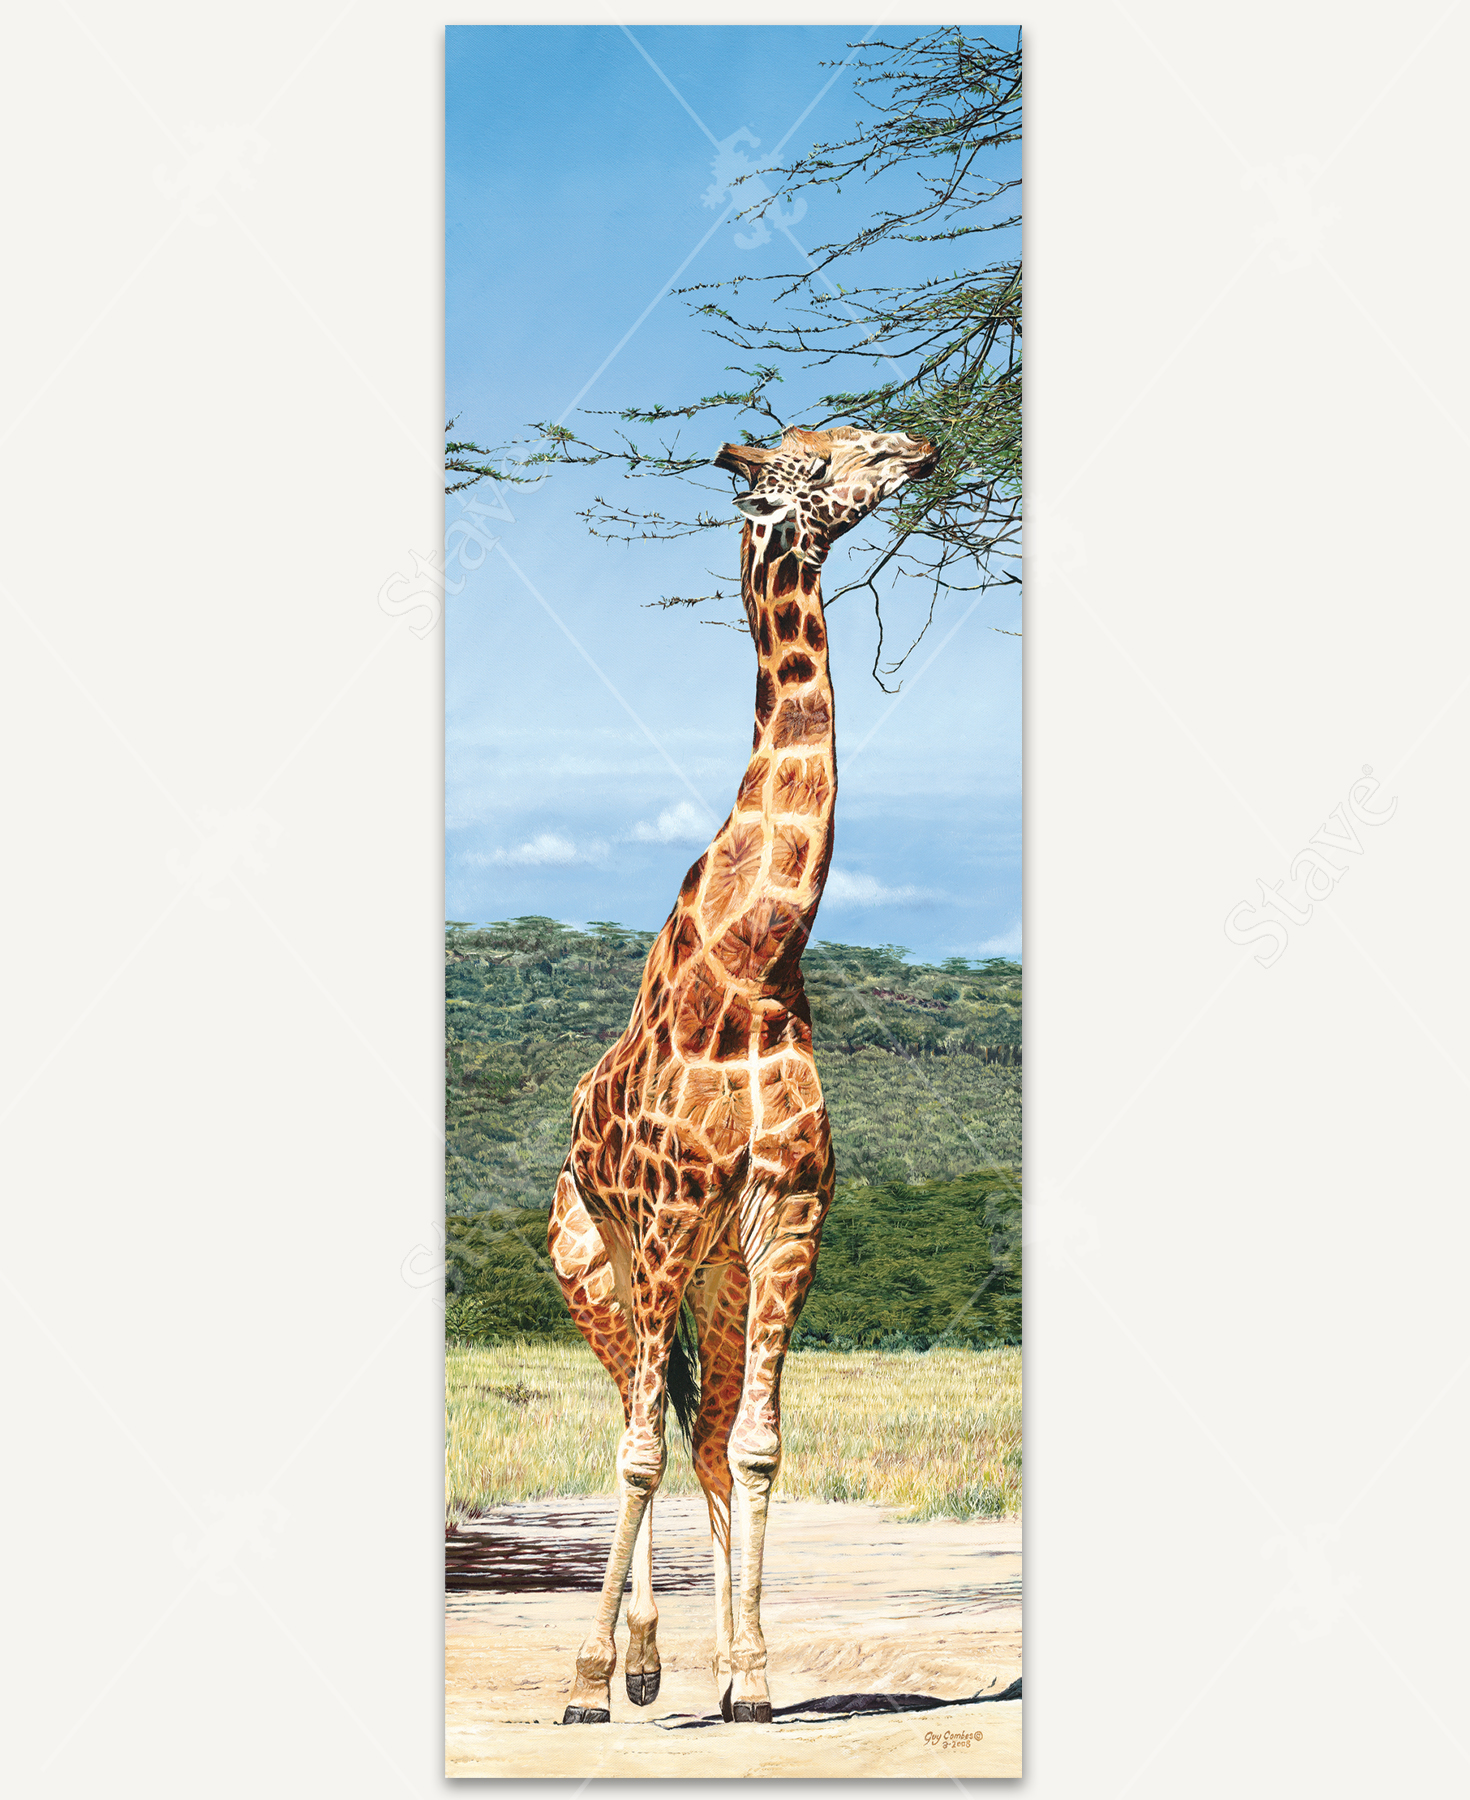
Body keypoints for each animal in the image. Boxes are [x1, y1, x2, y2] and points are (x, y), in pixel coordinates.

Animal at [546, 423, 939, 1725]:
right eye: (815, 463)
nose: (920, 443)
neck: (758, 956)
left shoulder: (788, 1220)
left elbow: (757, 1447)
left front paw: (754, 1679)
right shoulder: (669, 1222)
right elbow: (636, 1454)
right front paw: (586, 1680)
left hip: (711, 1280)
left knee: (707, 1437)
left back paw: (697, 1668)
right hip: (605, 1275)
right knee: (637, 1427)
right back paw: (627, 1665)